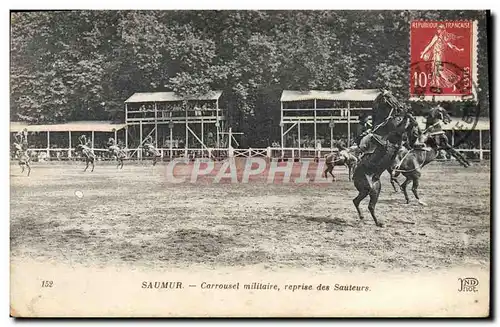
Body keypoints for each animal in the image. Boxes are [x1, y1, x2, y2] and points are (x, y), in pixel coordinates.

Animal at [352, 89, 418, 228]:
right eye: (389, 97)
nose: (401, 107)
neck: (383, 123)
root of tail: (354, 177)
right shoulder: (397, 131)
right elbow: (404, 122)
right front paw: (409, 115)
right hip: (368, 189)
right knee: (367, 205)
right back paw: (376, 222)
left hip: (375, 189)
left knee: (359, 202)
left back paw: (371, 220)